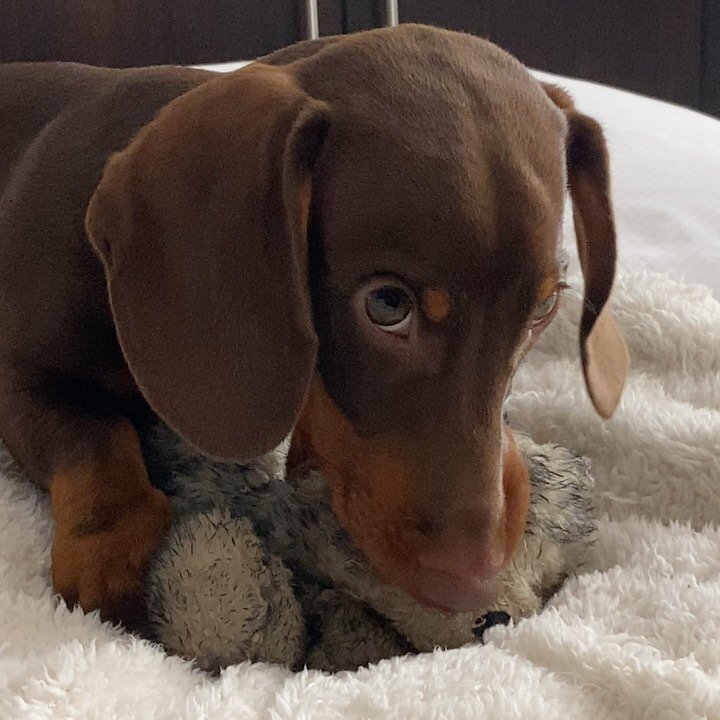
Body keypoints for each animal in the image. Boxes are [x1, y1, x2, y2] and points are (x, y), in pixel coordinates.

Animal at [0, 26, 632, 624]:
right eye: (387, 304)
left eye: (543, 310)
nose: (470, 589)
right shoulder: (16, 381)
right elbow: (93, 435)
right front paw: (111, 545)